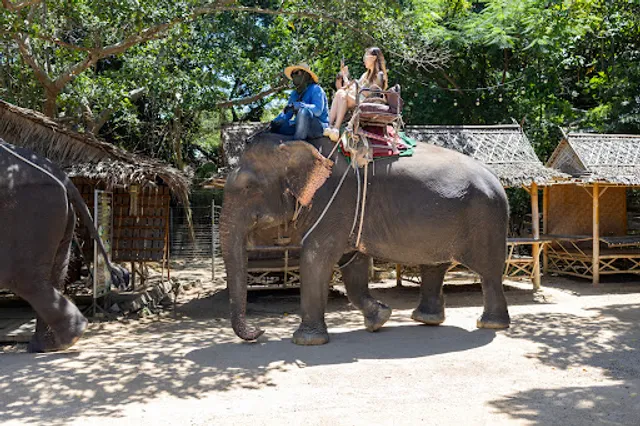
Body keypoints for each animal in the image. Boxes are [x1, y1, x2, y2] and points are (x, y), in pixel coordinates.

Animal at [0, 139, 128, 352]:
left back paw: (64, 338)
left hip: (30, 211)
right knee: (53, 276)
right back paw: (48, 345)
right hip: (59, 214)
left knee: (22, 278)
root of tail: (61, 174)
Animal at [221, 132, 510, 345]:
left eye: (248, 188)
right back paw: (426, 319)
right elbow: (352, 263)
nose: (259, 332)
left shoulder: (336, 201)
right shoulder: (348, 212)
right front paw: (380, 318)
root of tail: (497, 179)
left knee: (488, 272)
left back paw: (489, 324)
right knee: (435, 266)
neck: (295, 142)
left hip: (486, 219)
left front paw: (306, 341)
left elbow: (316, 258)